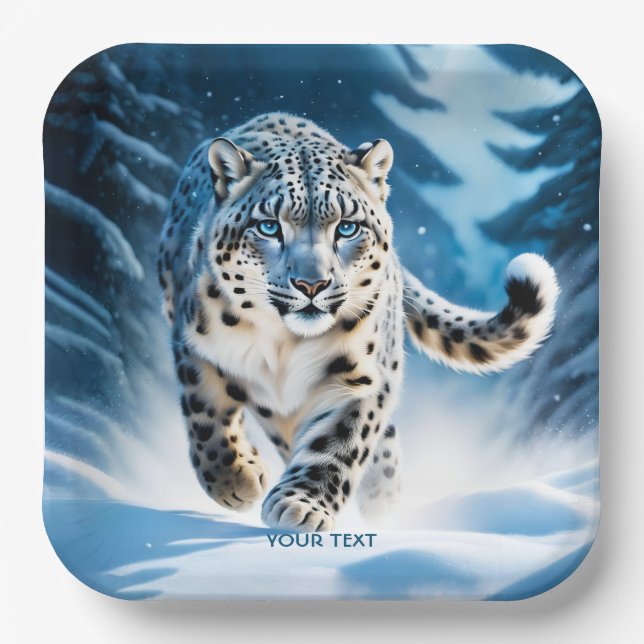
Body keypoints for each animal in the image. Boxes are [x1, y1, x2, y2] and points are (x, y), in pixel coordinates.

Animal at [157, 112, 559, 532]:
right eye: (269, 226)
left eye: (347, 227)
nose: (312, 284)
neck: (285, 344)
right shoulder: (194, 347)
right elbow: (206, 416)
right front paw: (235, 480)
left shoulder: (365, 375)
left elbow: (343, 438)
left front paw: (301, 505)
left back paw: (383, 499)